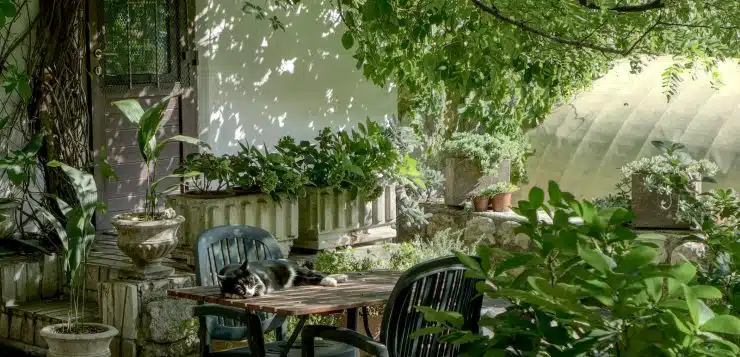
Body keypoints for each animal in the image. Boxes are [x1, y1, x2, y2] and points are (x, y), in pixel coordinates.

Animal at [217, 258, 350, 298]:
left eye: (250, 281)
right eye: (239, 287)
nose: (249, 293)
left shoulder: (261, 280)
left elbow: (260, 288)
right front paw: (233, 294)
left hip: (300, 271)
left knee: (320, 274)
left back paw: (335, 279)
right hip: (300, 279)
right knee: (313, 276)